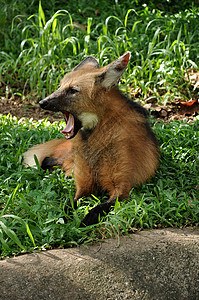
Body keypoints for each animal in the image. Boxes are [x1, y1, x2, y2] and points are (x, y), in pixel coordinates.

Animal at [23, 52, 159, 225]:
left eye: (72, 90)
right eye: (59, 87)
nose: (42, 102)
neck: (97, 139)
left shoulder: (122, 188)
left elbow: (99, 208)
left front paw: (84, 221)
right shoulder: (84, 185)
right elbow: (69, 203)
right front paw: (64, 218)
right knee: (47, 160)